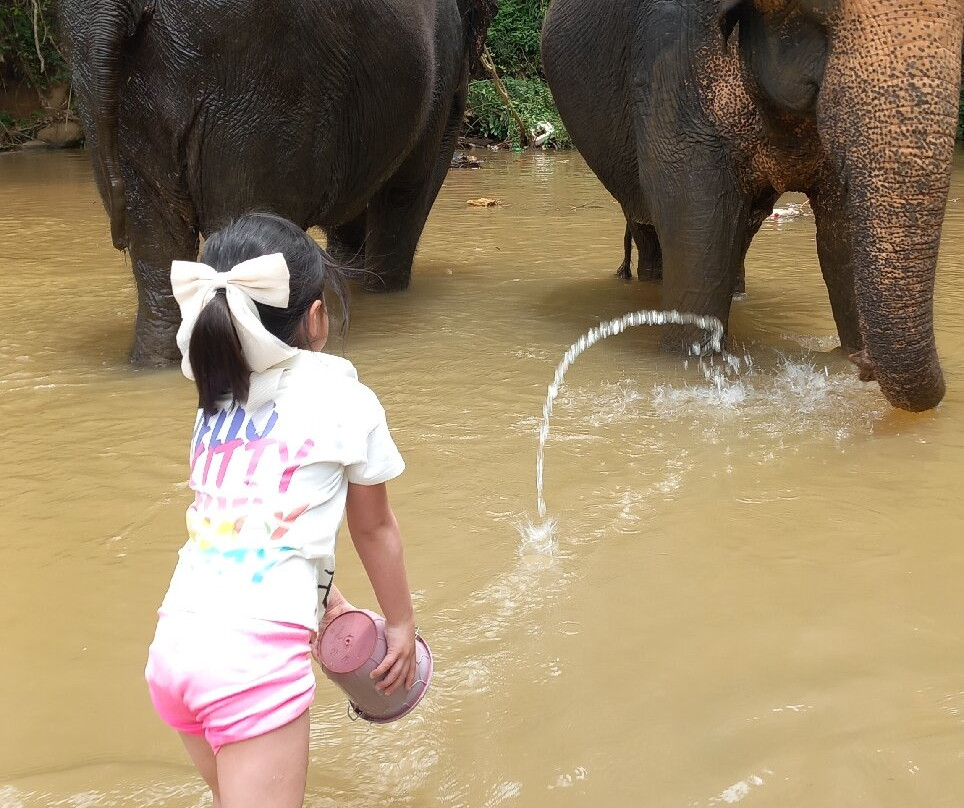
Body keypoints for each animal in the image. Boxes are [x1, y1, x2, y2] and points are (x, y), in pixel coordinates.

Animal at [542, 0, 963, 411]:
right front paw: (691, 364)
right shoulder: (671, 63)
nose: (864, 367)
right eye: (819, 11)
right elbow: (701, 234)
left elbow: (839, 234)